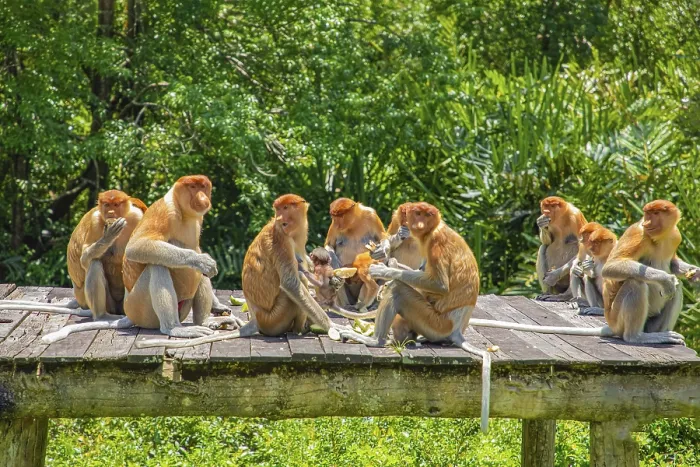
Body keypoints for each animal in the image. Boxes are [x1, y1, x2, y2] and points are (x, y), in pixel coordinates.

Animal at [133, 194, 350, 349]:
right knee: (293, 290)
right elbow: (291, 284)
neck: (292, 232)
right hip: (274, 318)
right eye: (278, 209)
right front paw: (334, 327)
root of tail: (256, 320)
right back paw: (300, 330)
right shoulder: (280, 239)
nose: (280, 217)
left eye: (286, 208)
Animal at [335, 202, 493, 434]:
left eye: (426, 215)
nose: (418, 224)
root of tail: (457, 329)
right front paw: (387, 259)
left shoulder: (435, 245)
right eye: (417, 213)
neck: (434, 229)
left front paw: (384, 269)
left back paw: (375, 340)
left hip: (434, 322)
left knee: (399, 290)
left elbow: (439, 285)